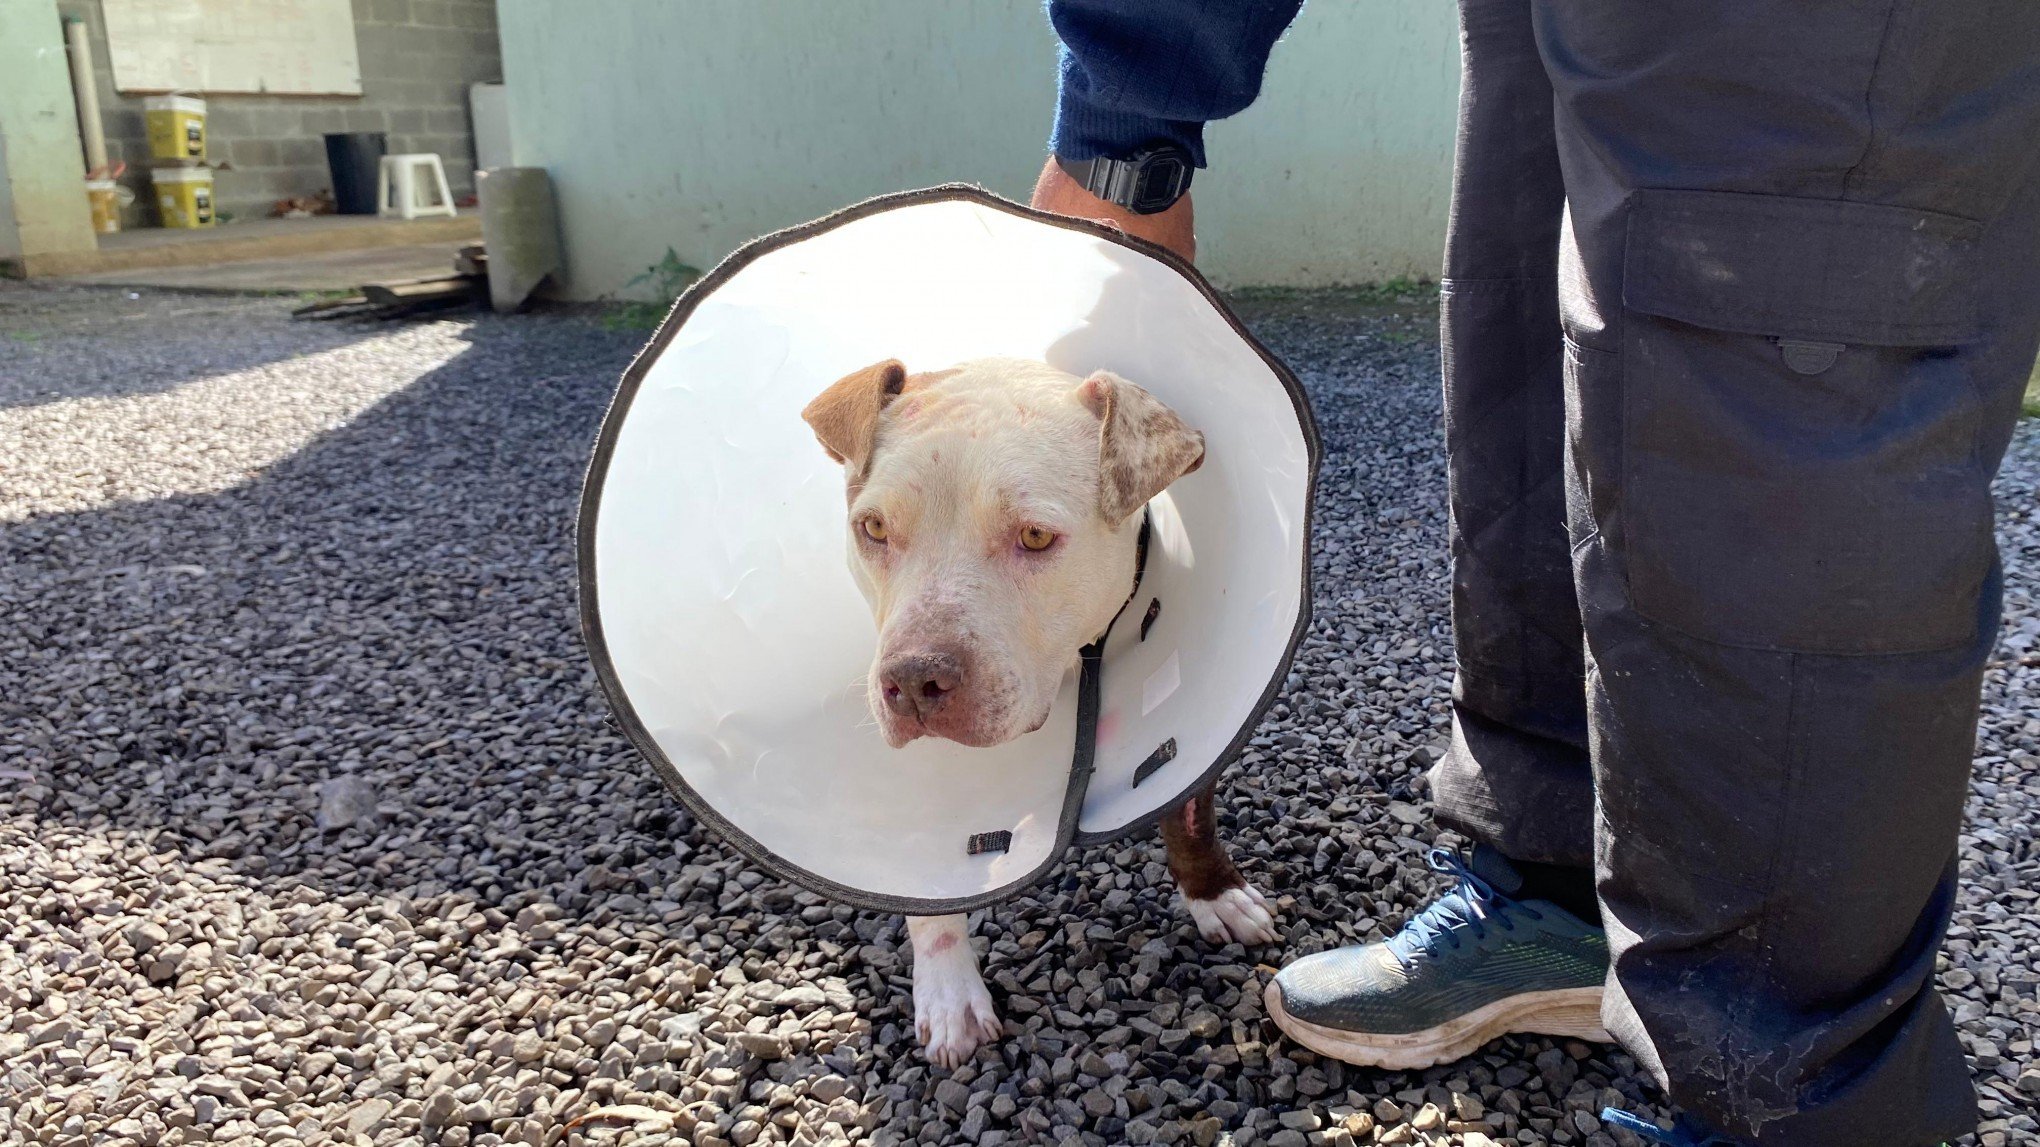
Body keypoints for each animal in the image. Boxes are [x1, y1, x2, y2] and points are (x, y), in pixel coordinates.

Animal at [799, 355, 1264, 1061]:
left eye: (1037, 535)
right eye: (873, 528)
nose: (913, 678)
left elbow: (1187, 807)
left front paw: (1218, 894)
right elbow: (927, 888)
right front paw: (949, 994)